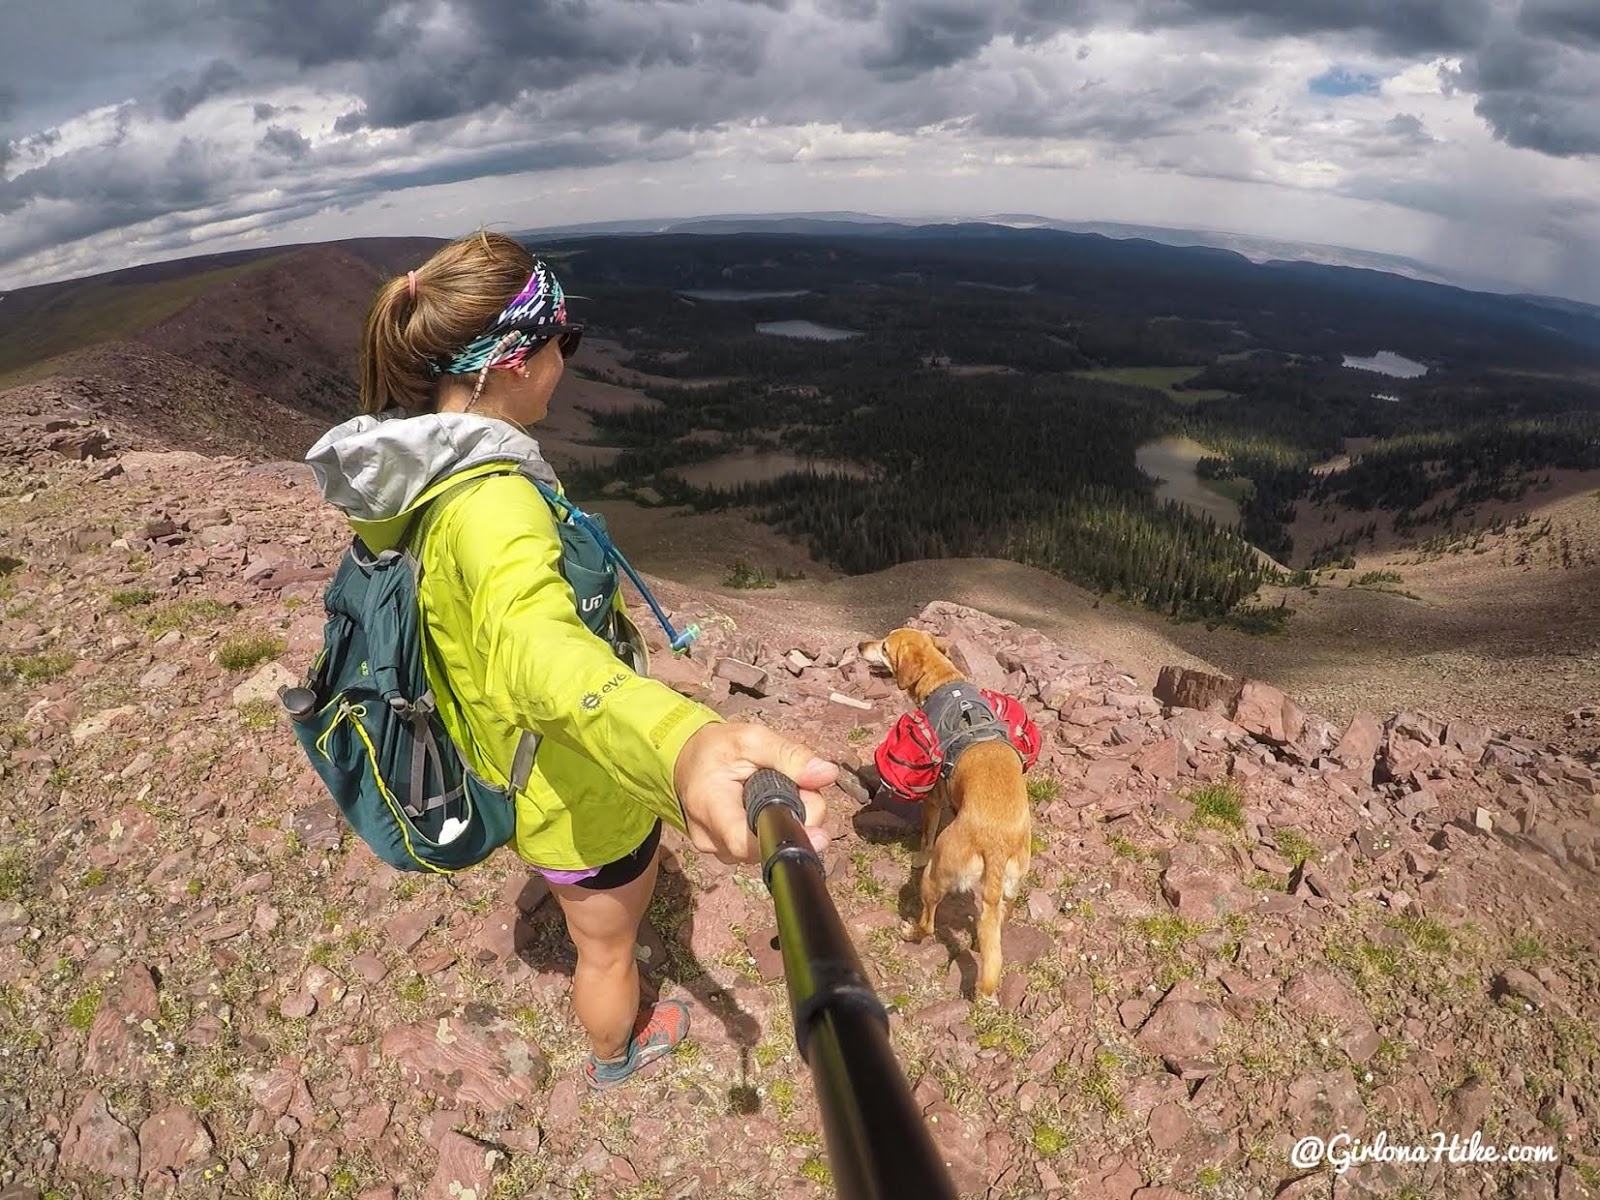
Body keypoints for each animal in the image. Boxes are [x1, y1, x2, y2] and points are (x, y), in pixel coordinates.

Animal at [857, 630, 1030, 1004]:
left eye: (884, 646)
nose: (860, 645)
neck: (944, 679)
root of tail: (995, 844)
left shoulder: (933, 799)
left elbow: (925, 834)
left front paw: (918, 852)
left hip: (935, 877)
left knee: (929, 922)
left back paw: (910, 932)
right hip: (1009, 889)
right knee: (994, 929)